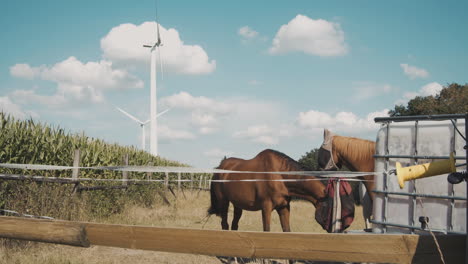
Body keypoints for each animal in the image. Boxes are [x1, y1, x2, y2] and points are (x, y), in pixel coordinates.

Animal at [208, 150, 354, 232]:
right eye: (335, 207)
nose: (343, 228)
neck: (279, 176)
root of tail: (219, 167)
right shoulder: (266, 208)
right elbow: (267, 231)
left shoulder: (284, 208)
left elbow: (287, 231)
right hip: (224, 203)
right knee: (225, 225)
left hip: (238, 205)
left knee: (234, 226)